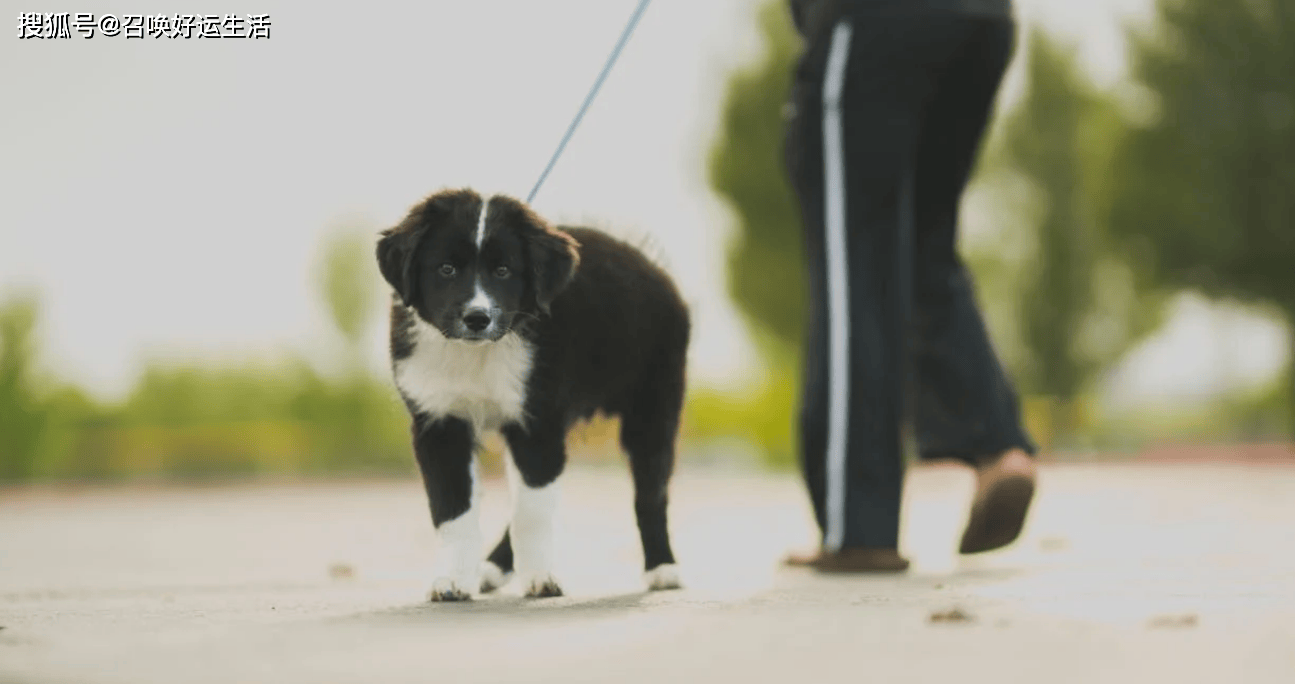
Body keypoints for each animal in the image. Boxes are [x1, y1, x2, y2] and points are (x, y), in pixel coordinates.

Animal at [378, 186, 688, 598]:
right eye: (446, 269)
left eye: (503, 271)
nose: (477, 318)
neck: (478, 353)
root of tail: (653, 267)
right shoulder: (440, 423)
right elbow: (453, 511)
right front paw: (453, 581)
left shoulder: (538, 425)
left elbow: (532, 514)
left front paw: (540, 579)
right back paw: (491, 569)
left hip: (654, 406)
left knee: (650, 493)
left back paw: (662, 569)